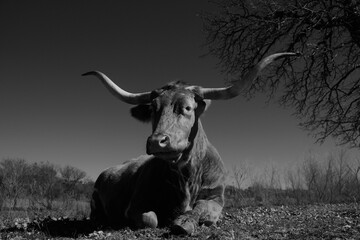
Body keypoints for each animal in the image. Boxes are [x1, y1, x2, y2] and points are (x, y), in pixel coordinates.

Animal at [83, 53, 296, 234]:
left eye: (187, 107)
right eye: (153, 109)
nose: (157, 142)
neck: (187, 175)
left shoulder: (215, 197)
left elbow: (205, 213)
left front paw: (185, 222)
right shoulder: (136, 203)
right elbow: (150, 219)